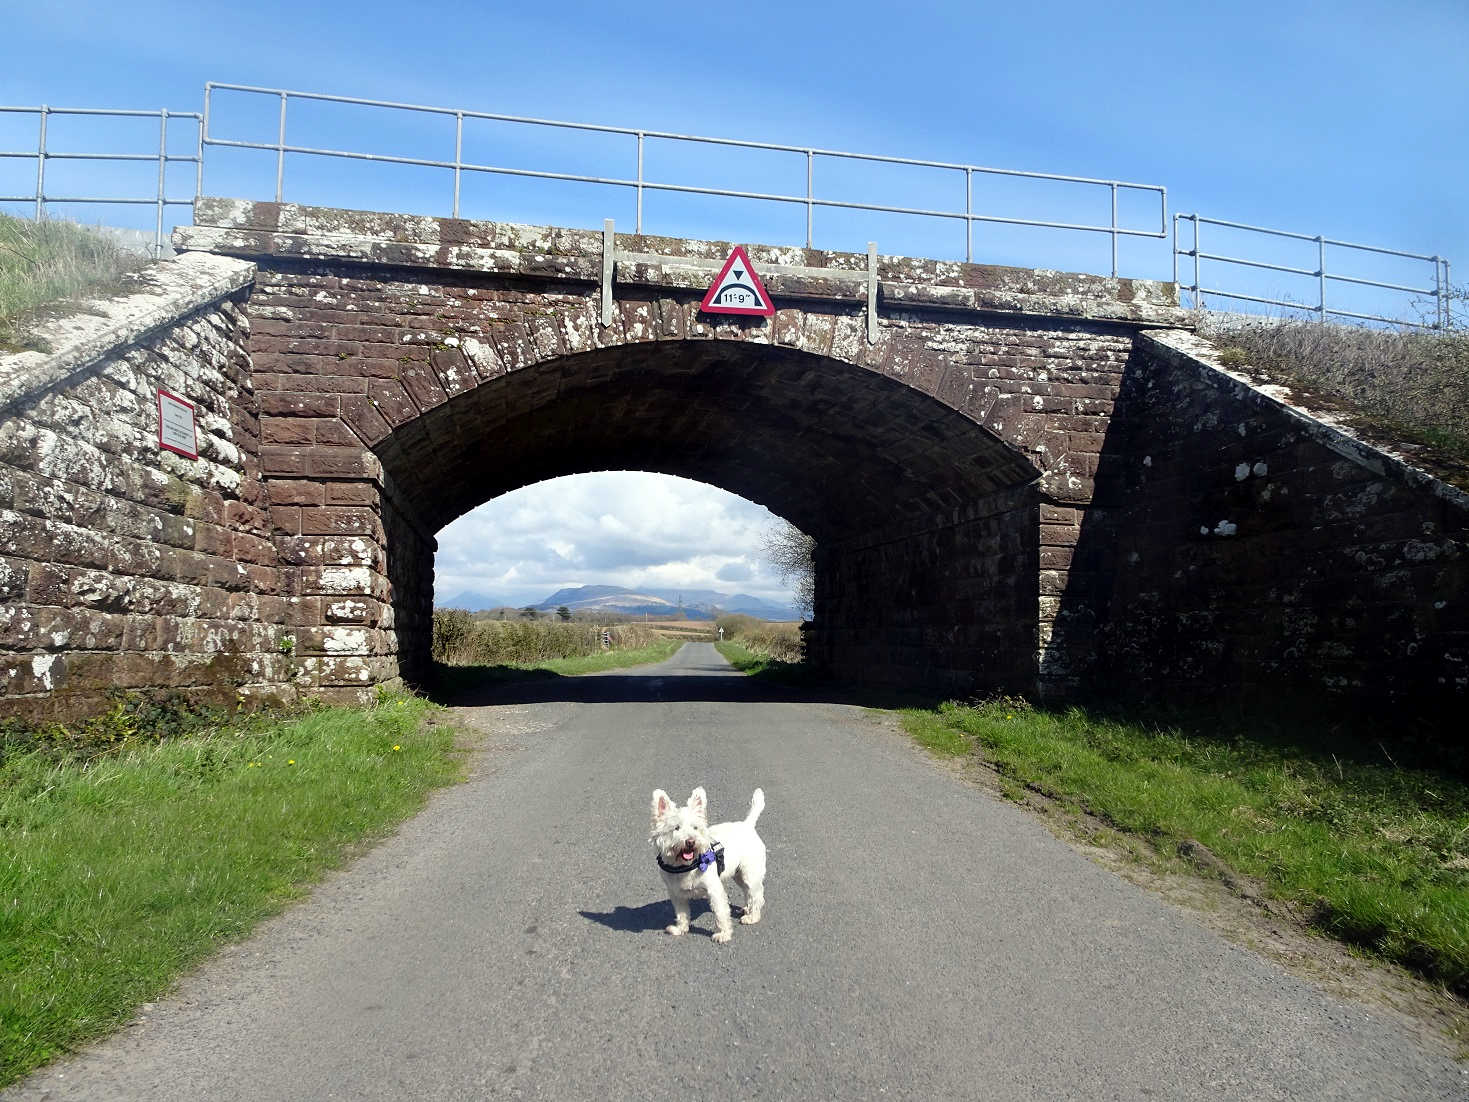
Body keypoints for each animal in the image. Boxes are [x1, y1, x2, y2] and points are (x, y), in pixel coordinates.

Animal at [652, 787, 769, 952]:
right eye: (676, 828)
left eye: (695, 827)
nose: (690, 841)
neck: (685, 867)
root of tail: (748, 825)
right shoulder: (676, 893)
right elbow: (682, 913)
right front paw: (680, 929)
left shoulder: (714, 890)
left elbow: (720, 913)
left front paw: (723, 934)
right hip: (738, 874)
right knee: (748, 892)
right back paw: (747, 908)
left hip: (750, 874)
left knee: (757, 895)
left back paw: (752, 916)